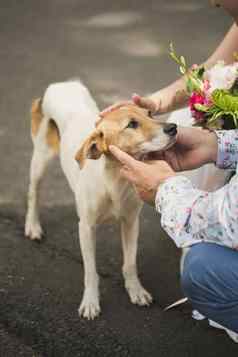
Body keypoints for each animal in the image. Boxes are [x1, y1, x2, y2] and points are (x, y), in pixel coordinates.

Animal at [25, 80, 177, 320]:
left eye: (150, 113)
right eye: (132, 124)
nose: (173, 128)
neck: (113, 180)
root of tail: (61, 84)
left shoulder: (131, 222)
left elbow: (130, 263)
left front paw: (136, 290)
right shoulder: (86, 228)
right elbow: (90, 271)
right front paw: (90, 301)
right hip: (40, 157)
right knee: (33, 193)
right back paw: (32, 226)